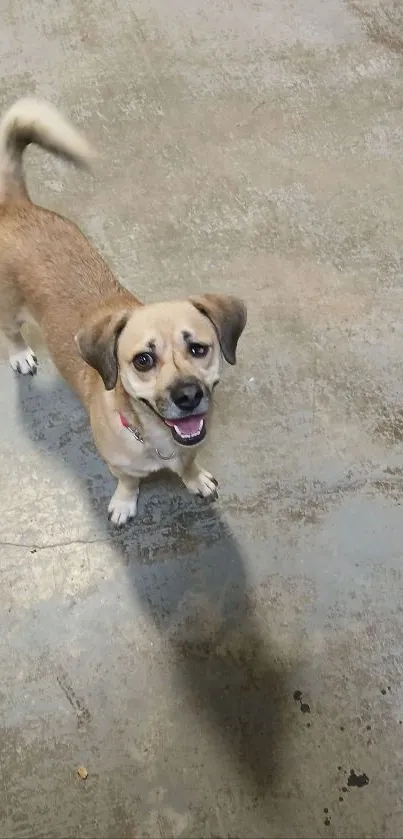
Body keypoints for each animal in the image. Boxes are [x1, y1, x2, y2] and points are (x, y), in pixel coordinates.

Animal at [0, 98, 246, 524]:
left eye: (198, 348)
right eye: (143, 360)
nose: (187, 395)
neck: (158, 438)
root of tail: (18, 207)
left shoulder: (192, 443)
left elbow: (189, 463)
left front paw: (194, 478)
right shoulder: (119, 463)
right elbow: (129, 481)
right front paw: (125, 502)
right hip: (9, 308)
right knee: (11, 332)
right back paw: (19, 354)